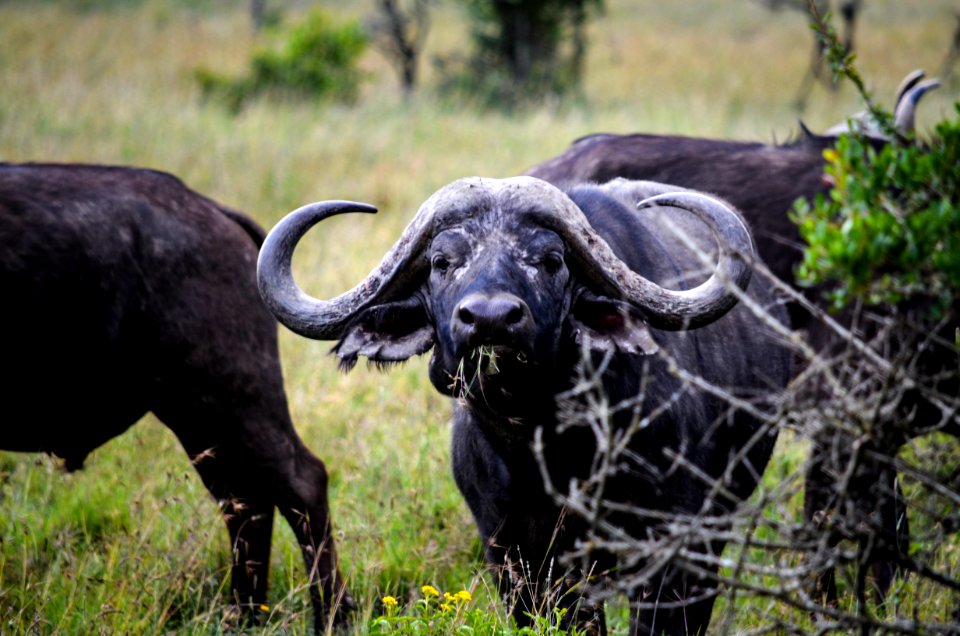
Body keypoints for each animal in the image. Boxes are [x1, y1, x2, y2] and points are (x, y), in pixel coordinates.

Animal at [0, 163, 352, 632]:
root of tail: (210, 210)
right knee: (245, 500)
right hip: (200, 420)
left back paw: (330, 615)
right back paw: (244, 613)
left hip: (227, 396)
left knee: (299, 482)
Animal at [258, 175, 792, 636]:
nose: (490, 318)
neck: (548, 450)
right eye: (441, 262)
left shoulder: (673, 545)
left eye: (551, 259)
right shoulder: (514, 555)